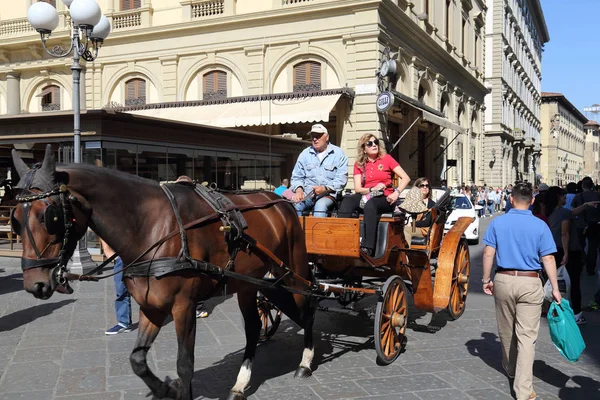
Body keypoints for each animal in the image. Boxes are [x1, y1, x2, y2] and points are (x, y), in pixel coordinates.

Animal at [11, 146, 316, 400]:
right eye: (15, 219)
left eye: (49, 216)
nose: (34, 284)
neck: (150, 226)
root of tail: (280, 200)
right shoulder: (152, 307)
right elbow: (137, 360)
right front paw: (166, 389)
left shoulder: (184, 307)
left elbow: (185, 364)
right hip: (249, 284)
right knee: (253, 327)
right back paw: (240, 384)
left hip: (294, 270)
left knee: (308, 307)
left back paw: (305, 362)